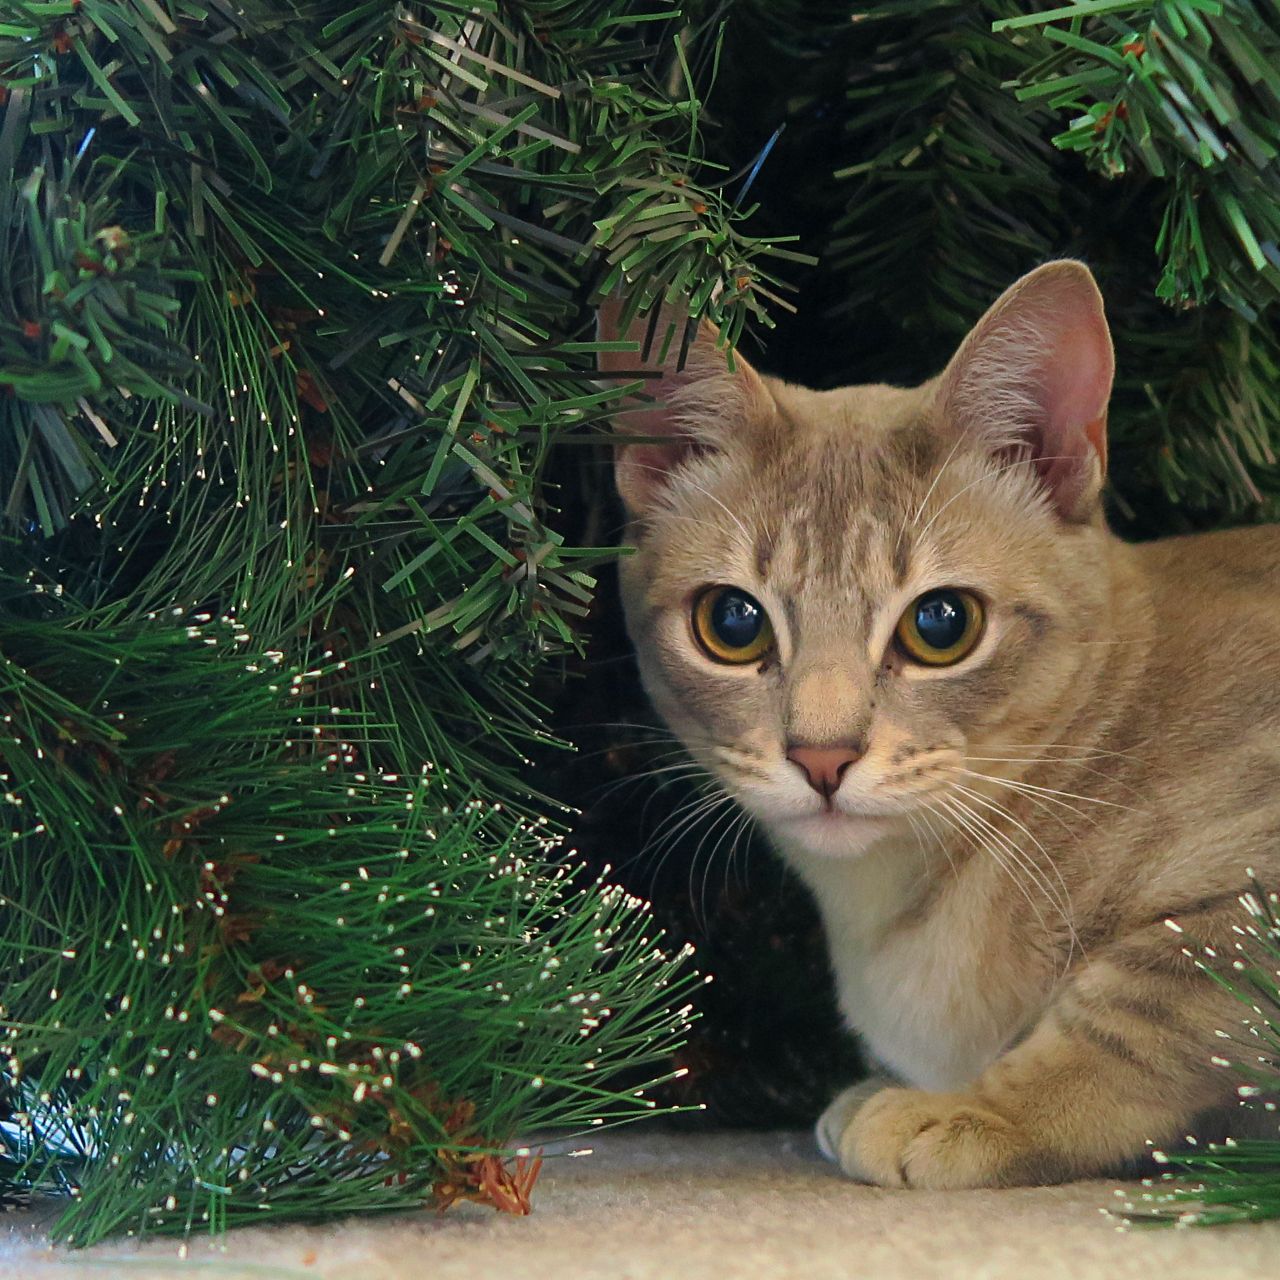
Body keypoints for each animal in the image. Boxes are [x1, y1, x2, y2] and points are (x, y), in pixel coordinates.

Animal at [597, 261, 1280, 1189]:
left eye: (941, 622)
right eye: (732, 624)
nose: (821, 755)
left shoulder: (1249, 892)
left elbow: (1142, 1010)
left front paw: (989, 1110)